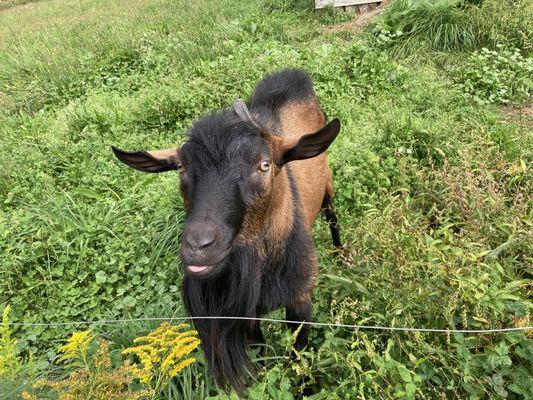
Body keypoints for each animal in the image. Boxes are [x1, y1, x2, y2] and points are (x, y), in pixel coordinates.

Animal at [114, 69, 342, 390]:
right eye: (181, 167)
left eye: (264, 165)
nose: (198, 247)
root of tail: (293, 75)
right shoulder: (247, 313)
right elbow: (260, 351)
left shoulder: (300, 298)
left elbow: (299, 357)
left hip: (328, 188)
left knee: (333, 217)